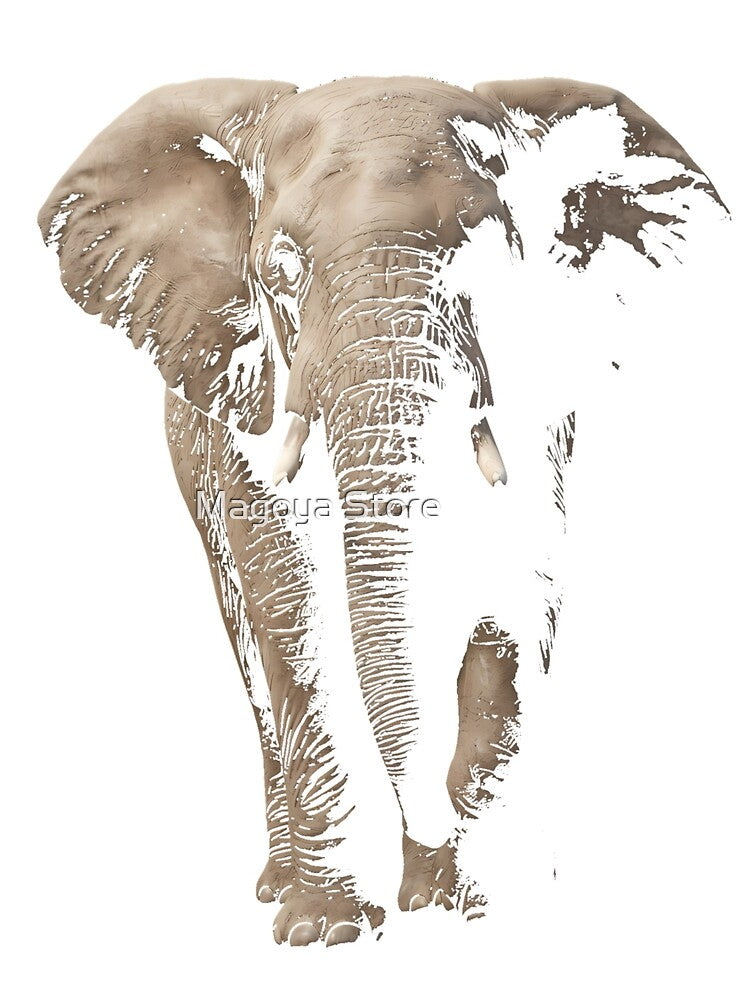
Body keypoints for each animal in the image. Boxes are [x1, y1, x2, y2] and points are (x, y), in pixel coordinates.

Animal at [38, 75, 727, 946]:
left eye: (494, 272)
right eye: (282, 274)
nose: (430, 846)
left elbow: (517, 588)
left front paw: (481, 904)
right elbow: (295, 598)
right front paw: (328, 929)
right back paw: (279, 885)